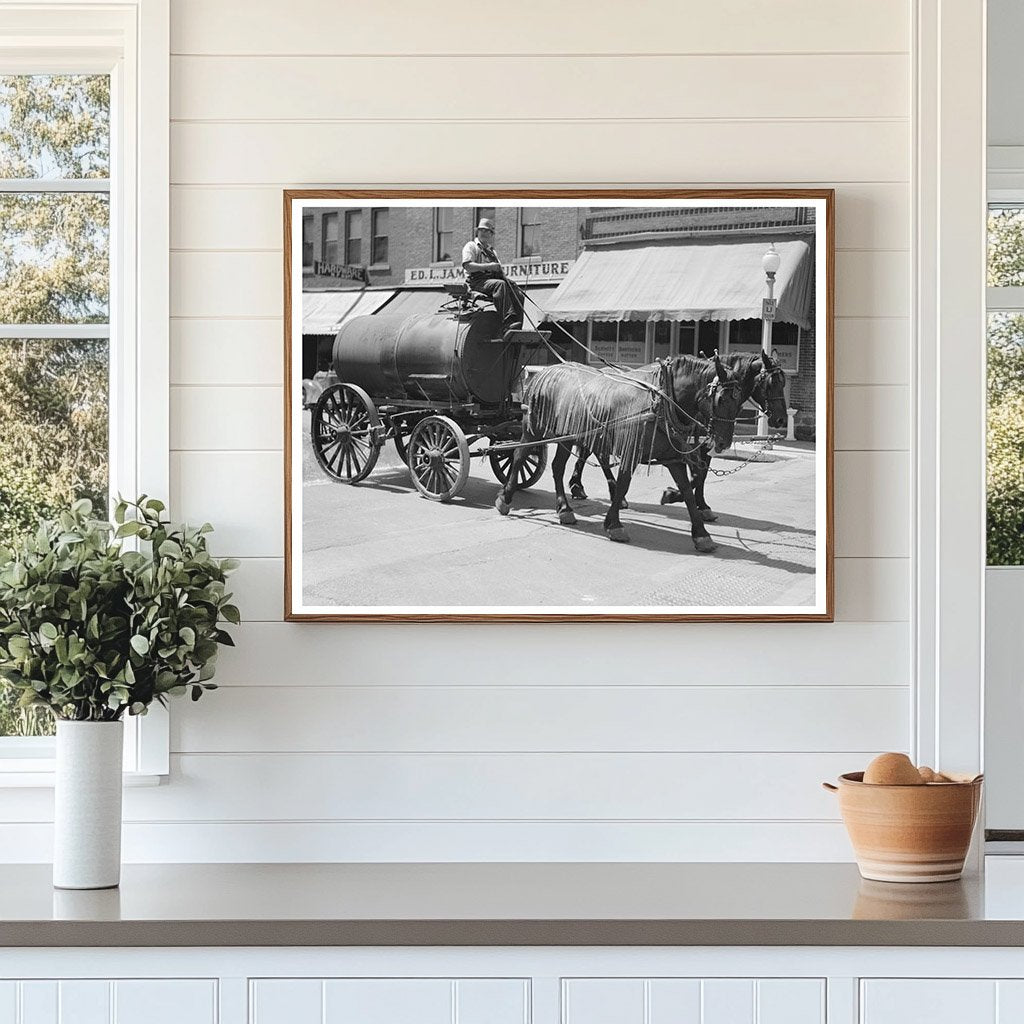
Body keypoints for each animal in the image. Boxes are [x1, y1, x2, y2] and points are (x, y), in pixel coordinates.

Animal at [497, 354, 753, 552]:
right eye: (721, 399)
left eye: (740, 401)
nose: (722, 443)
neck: (661, 400)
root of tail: (544, 372)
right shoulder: (631, 452)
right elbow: (623, 485)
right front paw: (614, 524)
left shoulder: (672, 457)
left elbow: (688, 491)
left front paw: (700, 533)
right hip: (534, 427)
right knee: (519, 456)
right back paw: (506, 498)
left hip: (567, 436)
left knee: (558, 467)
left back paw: (564, 509)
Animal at [659, 350, 786, 516]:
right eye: (771, 383)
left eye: (783, 383)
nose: (781, 419)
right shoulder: (692, 446)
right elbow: (697, 475)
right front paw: (672, 494)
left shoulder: (708, 446)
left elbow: (702, 475)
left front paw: (702, 505)